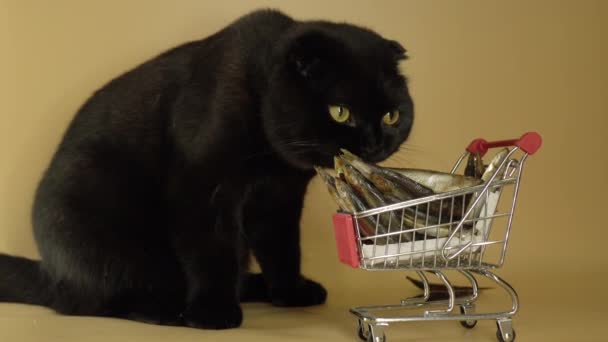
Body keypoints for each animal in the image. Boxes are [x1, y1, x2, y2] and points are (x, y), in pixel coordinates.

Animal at [0, 8, 414, 328]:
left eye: (392, 115)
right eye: (340, 112)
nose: (375, 143)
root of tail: (48, 271)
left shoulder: (278, 199)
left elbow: (282, 248)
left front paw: (290, 292)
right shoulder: (202, 188)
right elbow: (211, 250)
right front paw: (213, 313)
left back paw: (253, 287)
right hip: (96, 224)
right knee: (92, 300)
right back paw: (168, 310)